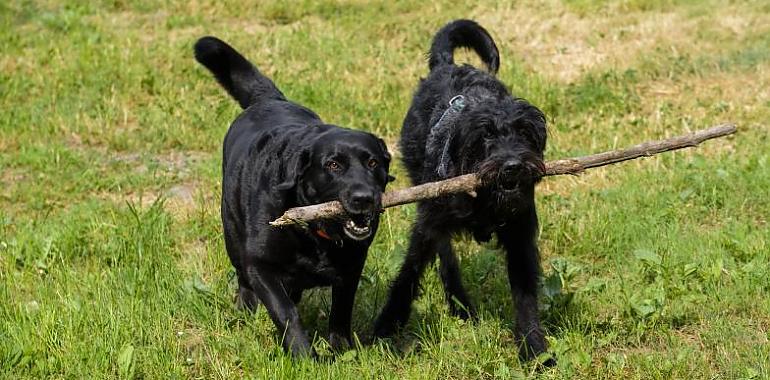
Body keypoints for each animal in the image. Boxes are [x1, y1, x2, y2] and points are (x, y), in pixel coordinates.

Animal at [195, 35, 392, 356]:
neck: (316, 233)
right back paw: (245, 308)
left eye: (373, 163)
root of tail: (269, 100)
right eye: (333, 165)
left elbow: (341, 310)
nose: (364, 197)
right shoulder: (260, 266)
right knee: (244, 280)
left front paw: (341, 349)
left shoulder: (352, 265)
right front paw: (304, 355)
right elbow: (286, 312)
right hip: (232, 234)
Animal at [372, 20, 552, 366]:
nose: (512, 166)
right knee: (446, 256)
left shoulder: (520, 235)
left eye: (525, 132)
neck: (485, 201)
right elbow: (409, 272)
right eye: (486, 136)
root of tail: (447, 65)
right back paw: (460, 303)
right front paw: (387, 323)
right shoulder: (427, 224)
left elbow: (526, 297)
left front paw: (534, 349)